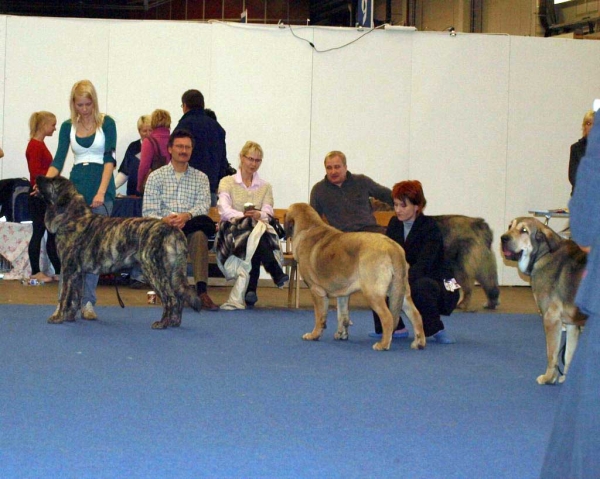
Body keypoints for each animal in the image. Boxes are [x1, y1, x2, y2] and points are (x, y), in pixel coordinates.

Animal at [37, 176, 202, 330]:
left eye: (52, 181)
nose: (38, 177)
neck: (72, 217)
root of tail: (171, 228)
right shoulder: (77, 273)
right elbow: (75, 297)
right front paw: (69, 317)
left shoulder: (68, 269)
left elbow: (65, 296)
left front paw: (58, 317)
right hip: (172, 272)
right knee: (179, 297)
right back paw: (174, 322)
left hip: (153, 271)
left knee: (170, 298)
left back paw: (162, 323)